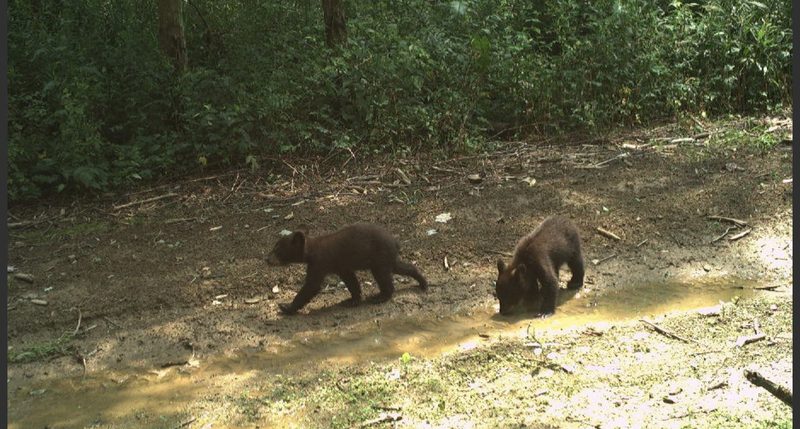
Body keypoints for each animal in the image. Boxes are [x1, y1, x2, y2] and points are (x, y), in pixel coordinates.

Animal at [266, 223, 428, 315]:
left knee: (383, 276)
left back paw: (380, 297)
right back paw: (422, 282)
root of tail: (395, 241)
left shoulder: (320, 263)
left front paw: (285, 307)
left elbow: (312, 286)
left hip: (379, 257)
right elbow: (351, 280)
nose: (266, 259)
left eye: (277, 250)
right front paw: (352, 300)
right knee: (400, 267)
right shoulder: (341, 265)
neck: (311, 251)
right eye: (274, 247)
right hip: (385, 258)